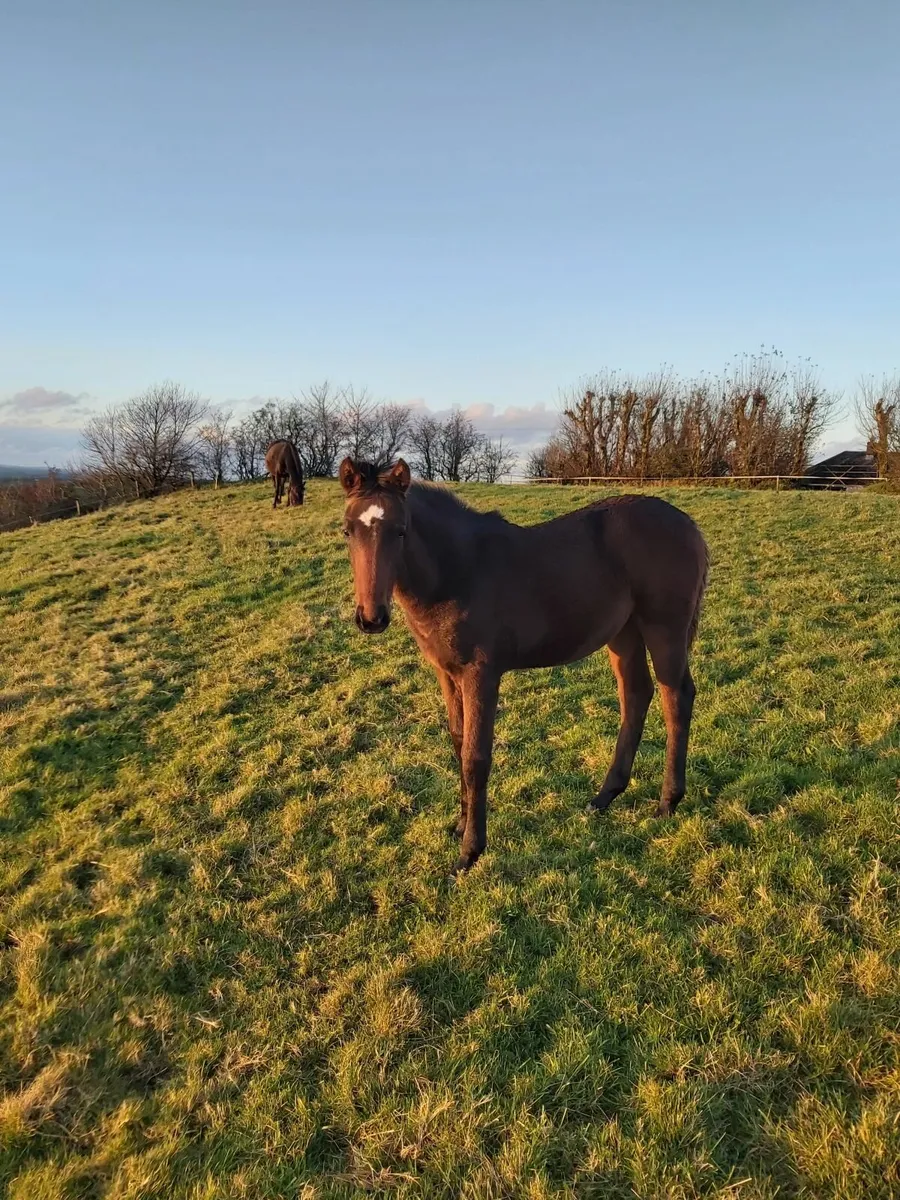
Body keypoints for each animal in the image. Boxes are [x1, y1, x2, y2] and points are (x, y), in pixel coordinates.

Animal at [339, 457, 709, 874]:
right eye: (347, 531)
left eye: (401, 531)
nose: (372, 618)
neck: (459, 571)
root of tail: (688, 524)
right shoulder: (446, 673)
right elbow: (458, 743)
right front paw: (459, 825)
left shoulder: (482, 673)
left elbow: (475, 757)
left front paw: (469, 852)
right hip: (624, 634)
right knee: (636, 695)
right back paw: (604, 796)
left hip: (665, 630)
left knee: (676, 698)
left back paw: (667, 802)